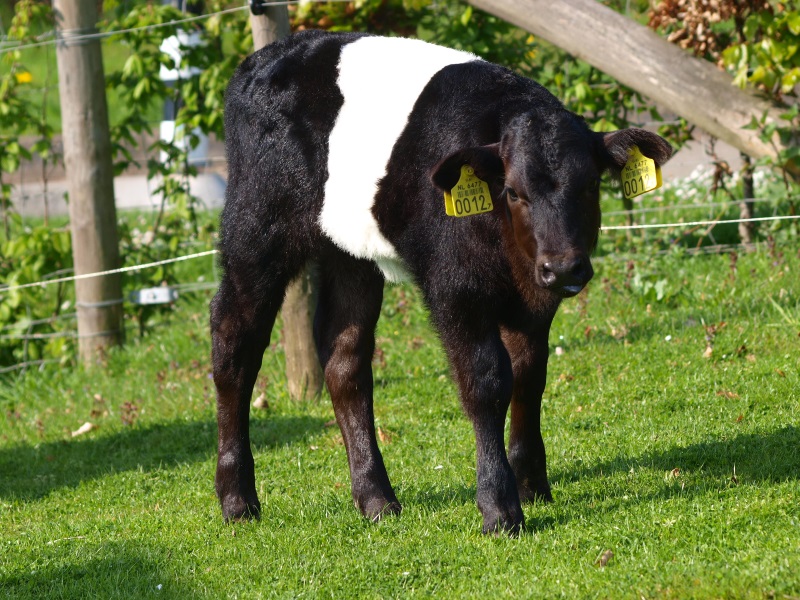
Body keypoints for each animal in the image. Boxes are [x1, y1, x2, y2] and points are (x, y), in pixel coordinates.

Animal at [211, 29, 672, 534]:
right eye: (514, 191)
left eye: (591, 185)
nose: (565, 267)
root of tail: (268, 56)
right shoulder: (456, 287)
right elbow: (486, 381)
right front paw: (499, 507)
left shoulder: (533, 298)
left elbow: (530, 375)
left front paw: (532, 484)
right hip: (256, 228)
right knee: (235, 346)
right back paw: (237, 500)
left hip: (349, 255)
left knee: (344, 360)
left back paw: (376, 499)